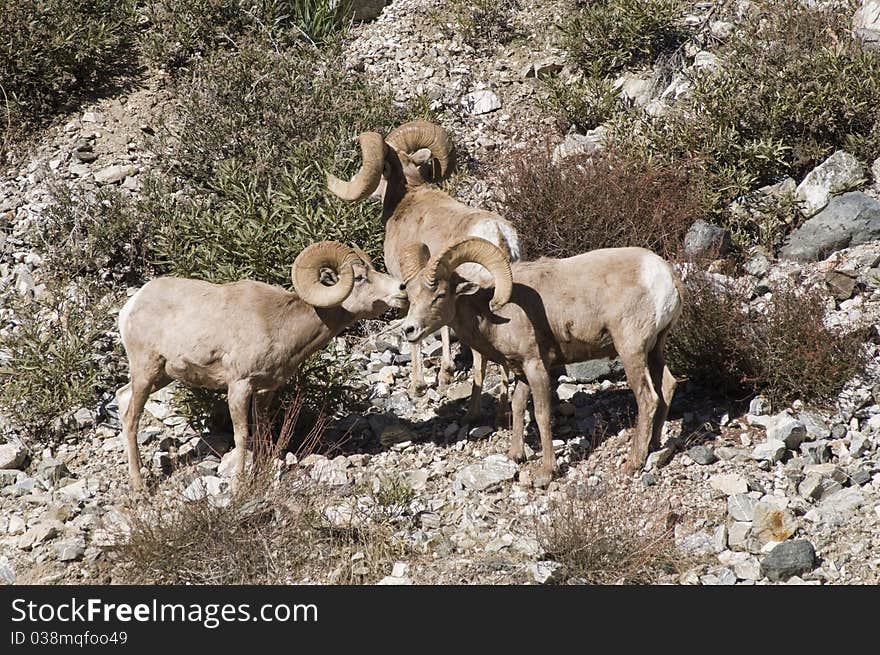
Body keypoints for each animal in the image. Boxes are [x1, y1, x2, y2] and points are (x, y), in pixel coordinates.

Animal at [115, 243, 408, 490]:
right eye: (359, 277)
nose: (403, 290)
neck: (278, 324)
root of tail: (131, 305)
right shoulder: (239, 386)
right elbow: (242, 436)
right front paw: (238, 486)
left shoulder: (266, 391)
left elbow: (263, 432)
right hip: (146, 371)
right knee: (131, 418)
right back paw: (139, 487)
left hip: (161, 376)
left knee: (122, 397)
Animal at [326, 122, 520, 420]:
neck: (407, 198)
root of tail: (498, 235)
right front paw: (445, 374)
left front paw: (419, 386)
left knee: (482, 357)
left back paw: (474, 413)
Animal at [402, 238, 684, 484]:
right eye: (412, 297)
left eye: (439, 295)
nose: (409, 330)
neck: (492, 314)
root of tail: (666, 276)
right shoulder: (522, 371)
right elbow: (517, 406)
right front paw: (515, 456)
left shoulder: (535, 366)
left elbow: (541, 413)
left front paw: (546, 473)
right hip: (654, 350)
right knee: (668, 386)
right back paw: (654, 444)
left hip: (631, 351)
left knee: (648, 398)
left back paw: (633, 462)